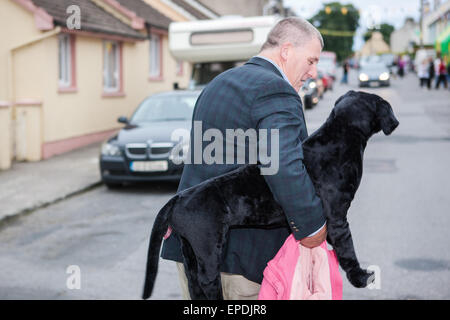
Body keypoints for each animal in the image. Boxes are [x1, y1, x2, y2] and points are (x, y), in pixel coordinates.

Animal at [142, 90, 400, 300]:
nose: (395, 122)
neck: (342, 133)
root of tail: (178, 197)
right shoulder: (337, 215)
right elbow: (347, 248)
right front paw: (360, 277)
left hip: (189, 248)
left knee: (194, 281)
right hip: (208, 246)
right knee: (207, 281)